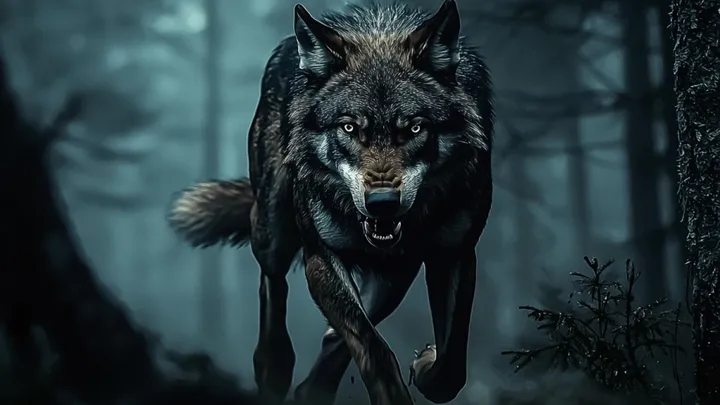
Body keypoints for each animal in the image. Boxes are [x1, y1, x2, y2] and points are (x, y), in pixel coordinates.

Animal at [168, 1, 493, 404]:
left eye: (415, 128)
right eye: (349, 127)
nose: (382, 202)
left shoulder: (456, 254)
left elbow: (450, 368)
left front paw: (424, 366)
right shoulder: (320, 257)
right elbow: (372, 346)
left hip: (395, 278)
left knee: (341, 331)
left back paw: (313, 387)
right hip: (272, 230)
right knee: (273, 283)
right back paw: (274, 368)